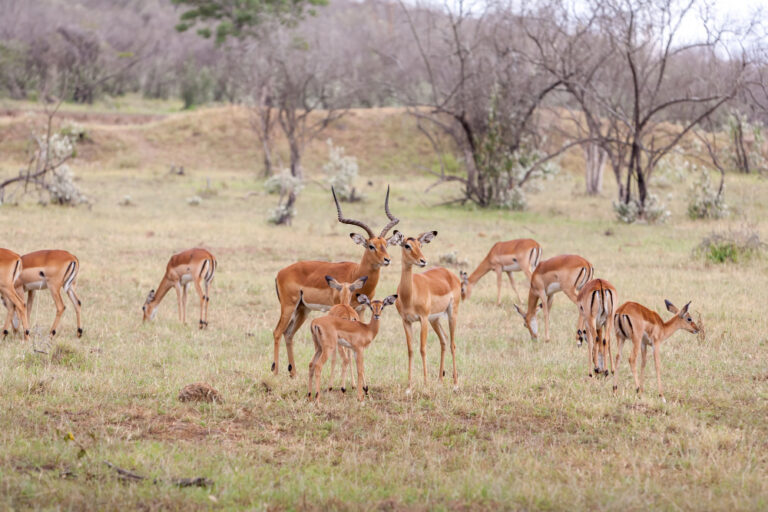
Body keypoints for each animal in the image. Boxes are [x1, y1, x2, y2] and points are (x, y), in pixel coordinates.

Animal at [272, 187, 400, 376]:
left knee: (288, 334)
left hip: (303, 309)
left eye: (386, 244)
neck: (356, 273)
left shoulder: (361, 310)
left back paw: (293, 373)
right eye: (371, 245)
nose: (387, 260)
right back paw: (275, 372)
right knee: (277, 332)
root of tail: (280, 273)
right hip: (288, 306)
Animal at [392, 231, 460, 392]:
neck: (409, 295)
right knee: (444, 339)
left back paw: (455, 385)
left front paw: (425, 386)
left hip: (451, 314)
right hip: (434, 320)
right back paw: (440, 381)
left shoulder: (422, 319)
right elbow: (410, 350)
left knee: (452, 344)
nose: (423, 261)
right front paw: (409, 388)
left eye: (420, 245)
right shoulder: (406, 321)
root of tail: (449, 273)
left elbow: (422, 349)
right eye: (407, 245)